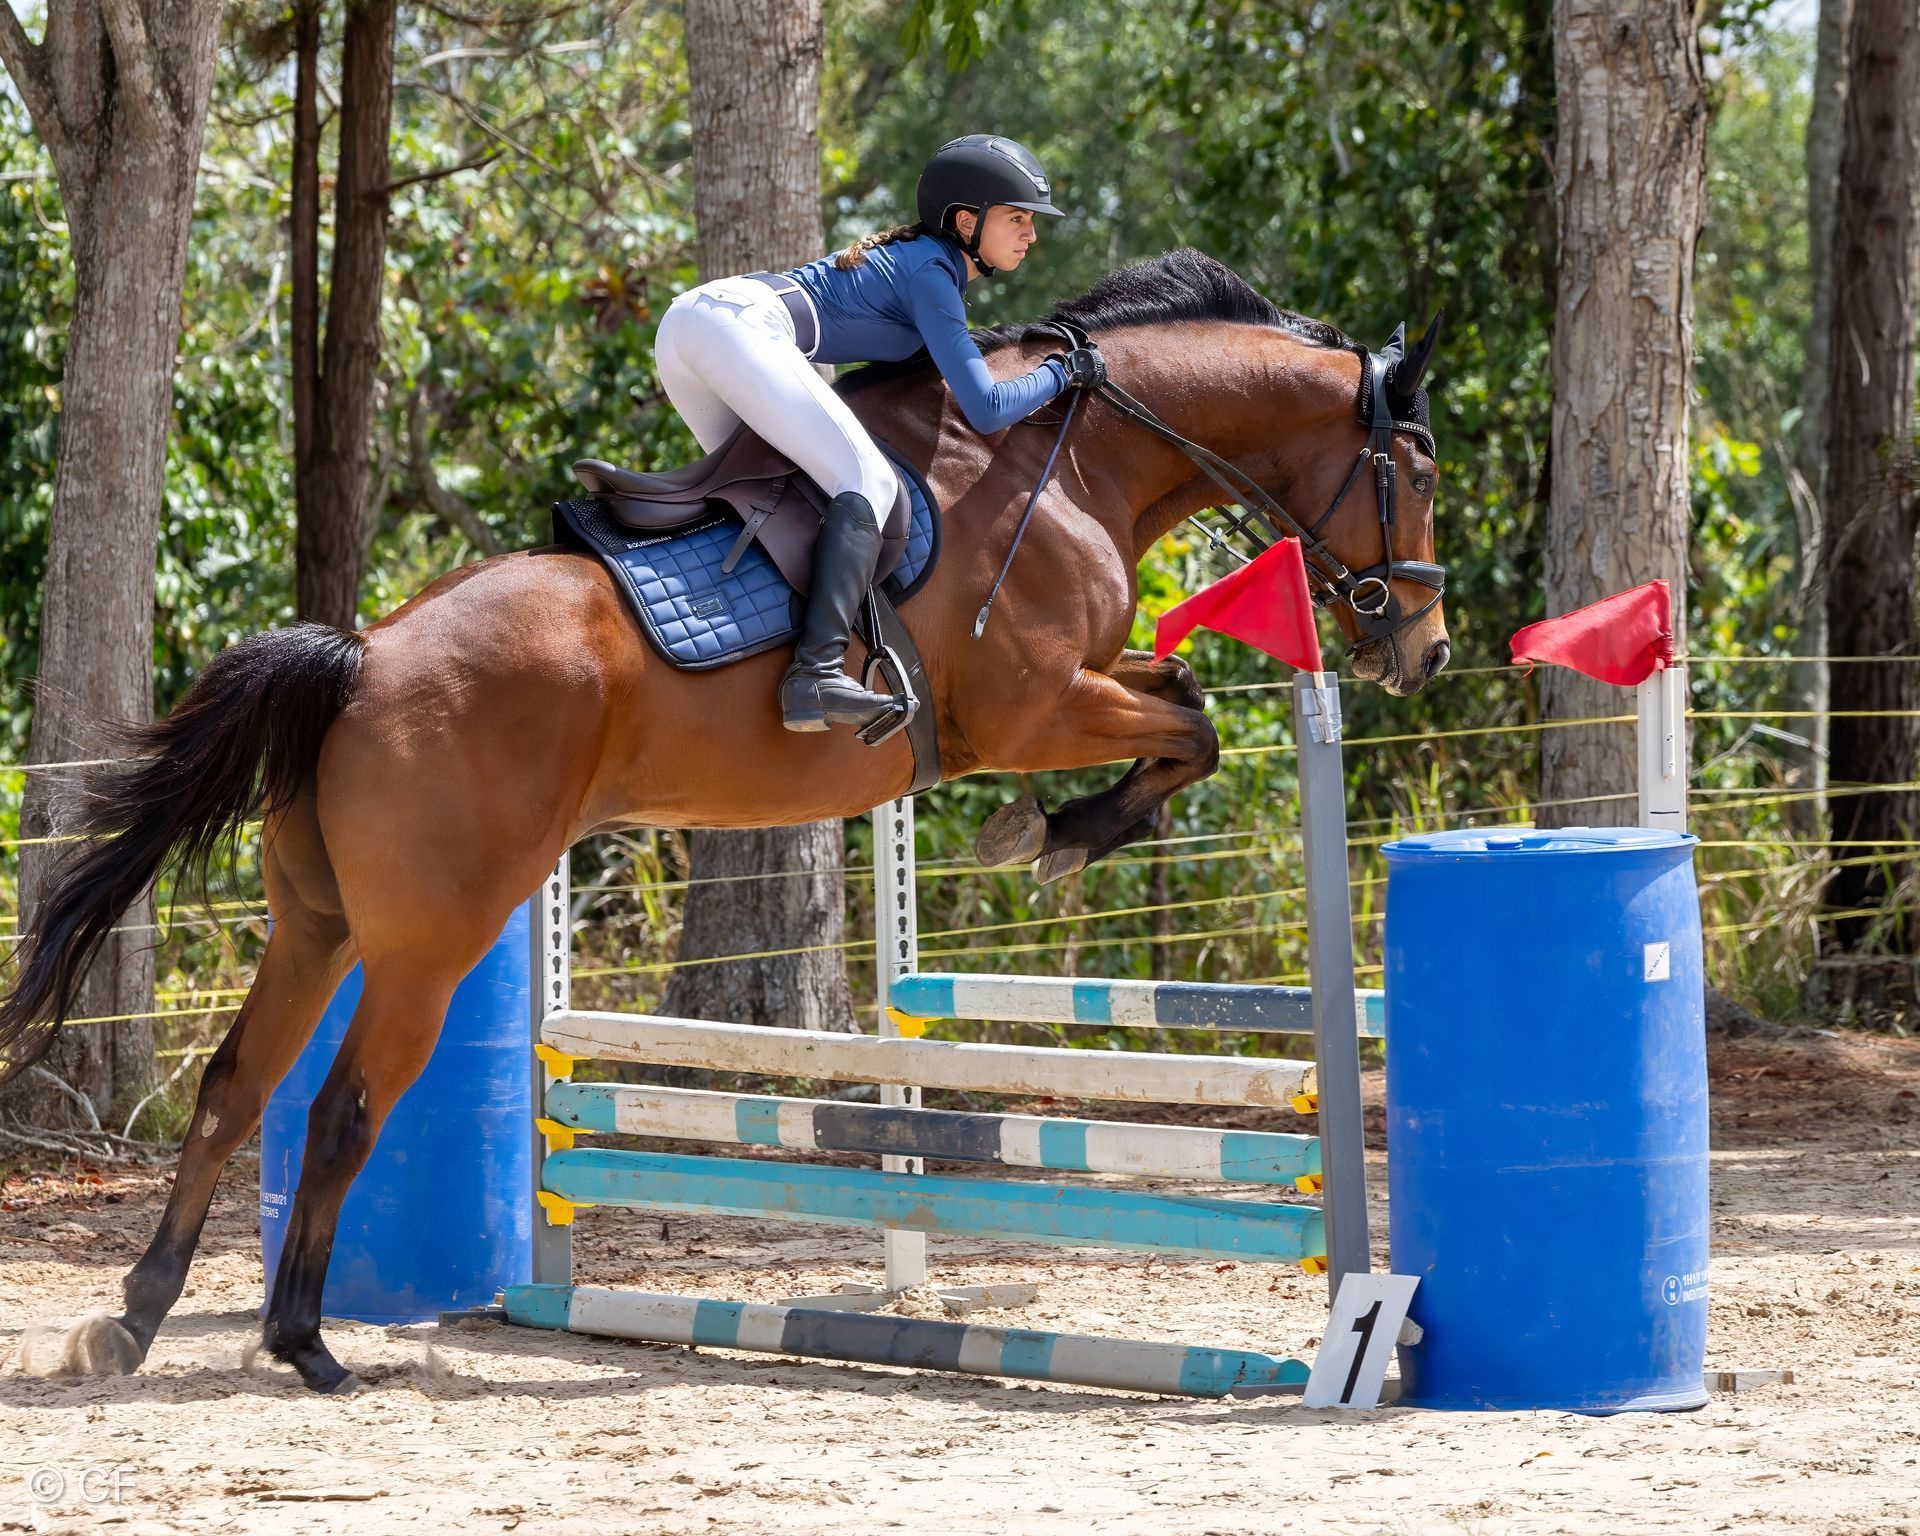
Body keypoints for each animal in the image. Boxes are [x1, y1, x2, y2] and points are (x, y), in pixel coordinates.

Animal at [0, 248, 1448, 1392]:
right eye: (1417, 469)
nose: (1422, 650)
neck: (1076, 455)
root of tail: (359, 659)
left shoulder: (1085, 687)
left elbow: (1186, 699)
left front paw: (1061, 833)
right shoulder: (1032, 711)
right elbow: (1194, 730)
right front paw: (1061, 836)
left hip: (319, 922)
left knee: (237, 1086)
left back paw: (133, 1322)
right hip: (430, 940)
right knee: (345, 1106)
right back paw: (302, 1343)